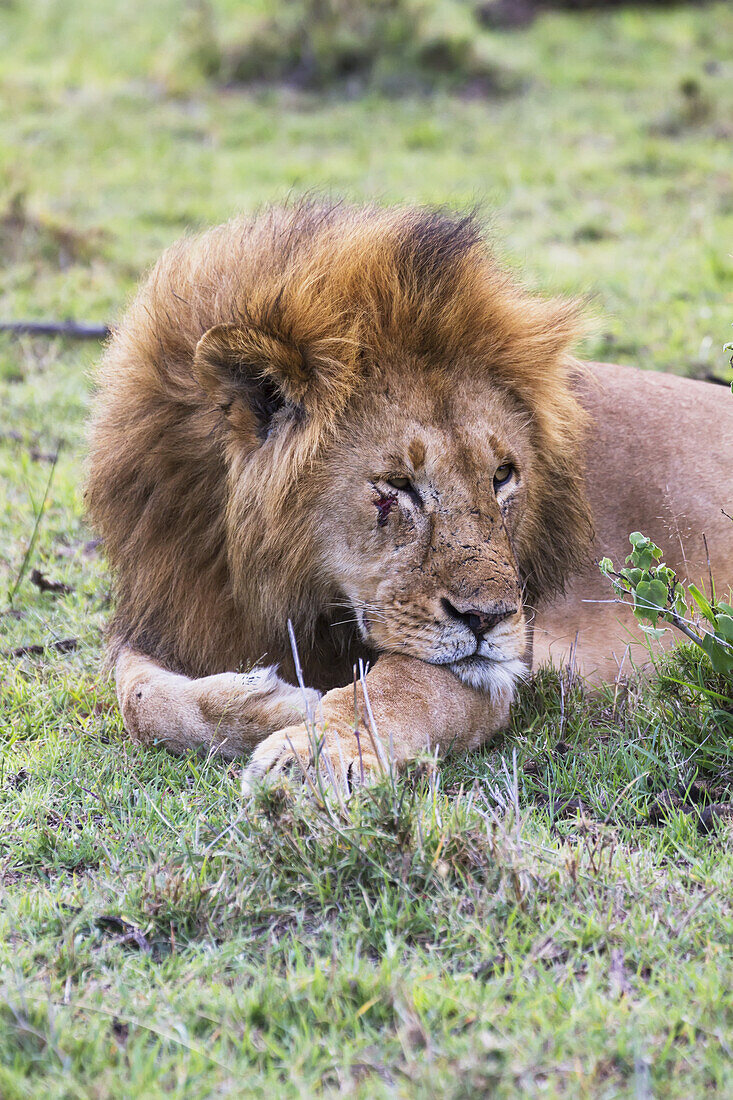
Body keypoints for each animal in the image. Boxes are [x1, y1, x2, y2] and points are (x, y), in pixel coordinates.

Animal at [84, 204, 730, 792]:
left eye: (502, 475)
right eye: (397, 485)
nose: (489, 618)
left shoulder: (499, 667)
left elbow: (393, 690)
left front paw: (316, 749)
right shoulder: (164, 615)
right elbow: (137, 698)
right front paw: (279, 700)